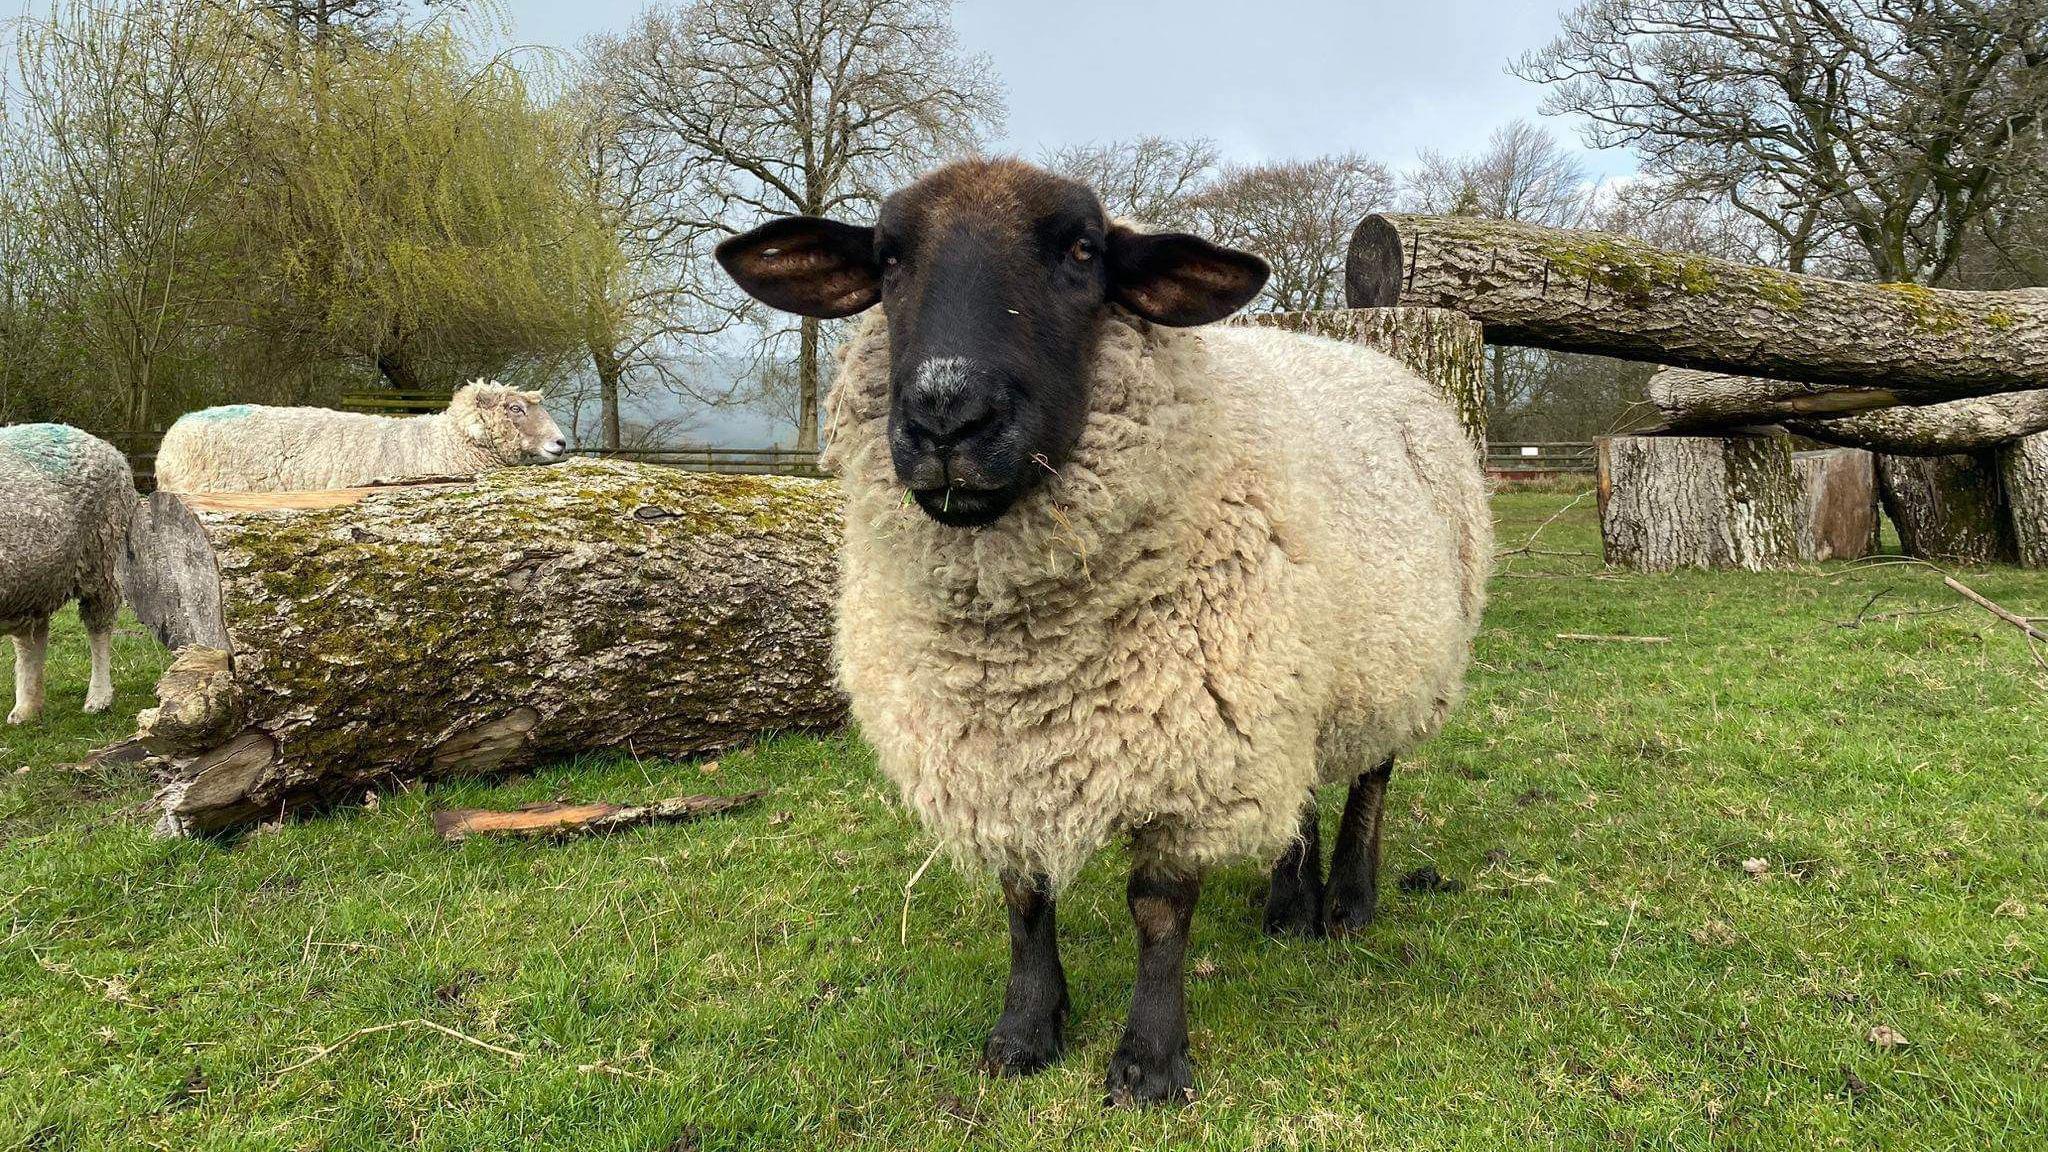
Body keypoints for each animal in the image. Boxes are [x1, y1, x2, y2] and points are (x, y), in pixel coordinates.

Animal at [0, 426, 136, 721]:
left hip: (100, 554)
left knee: (99, 624)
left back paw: (98, 697)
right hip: (35, 579)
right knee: (31, 638)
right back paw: (27, 706)